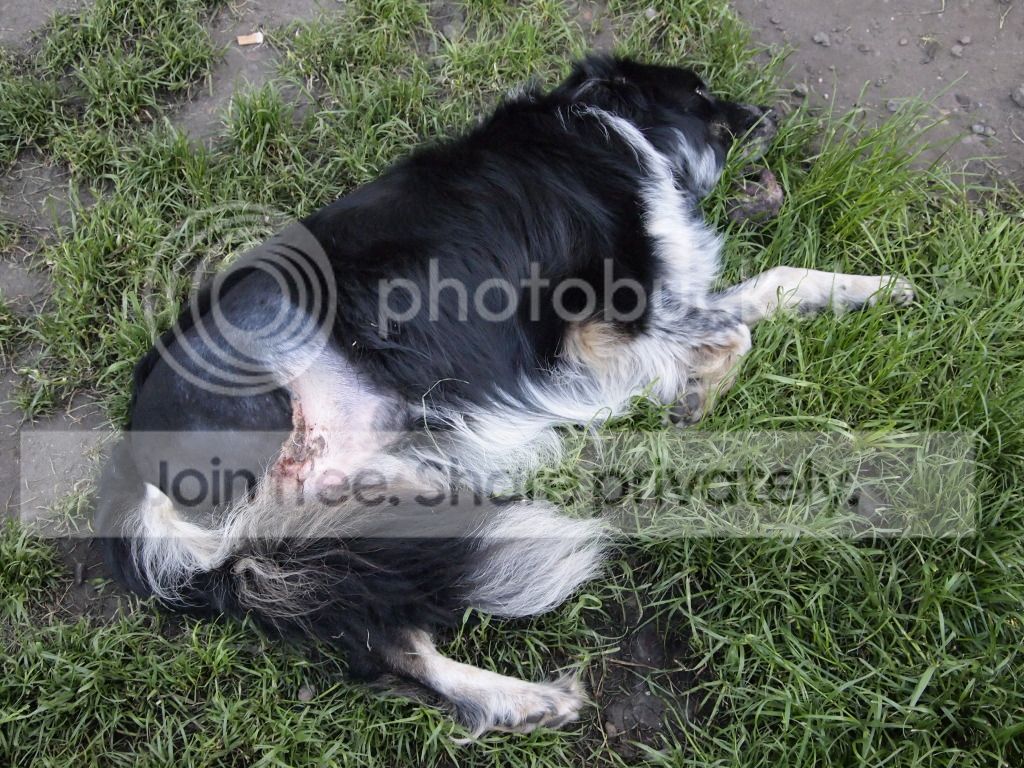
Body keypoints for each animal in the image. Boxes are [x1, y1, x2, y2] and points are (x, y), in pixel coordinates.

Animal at [96, 55, 914, 736]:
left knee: (385, 629)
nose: (772, 112)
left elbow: (778, 283)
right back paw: (522, 694)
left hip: (380, 484)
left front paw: (875, 288)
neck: (616, 131)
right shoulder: (602, 323)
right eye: (705, 97)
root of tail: (139, 492)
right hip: (271, 400)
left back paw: (520, 701)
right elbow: (734, 326)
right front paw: (696, 396)